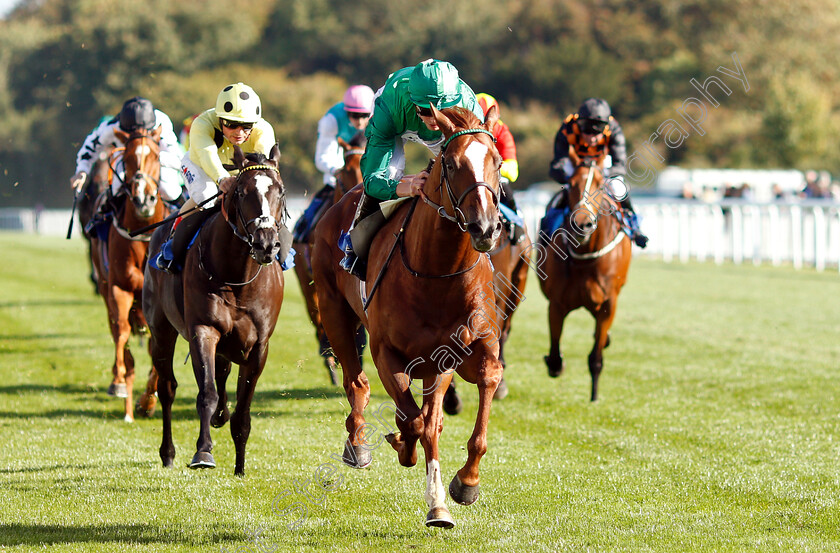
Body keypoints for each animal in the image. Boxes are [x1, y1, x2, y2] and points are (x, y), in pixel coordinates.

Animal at [90, 127, 166, 420]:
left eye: (156, 155)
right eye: (128, 157)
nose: (144, 198)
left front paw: (149, 399)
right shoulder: (119, 284)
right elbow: (122, 330)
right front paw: (120, 381)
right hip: (104, 285)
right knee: (117, 329)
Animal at [143, 146, 288, 474]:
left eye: (280, 191)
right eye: (241, 192)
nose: (266, 245)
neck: (238, 278)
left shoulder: (258, 346)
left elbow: (243, 409)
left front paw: (240, 467)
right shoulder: (203, 330)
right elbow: (206, 392)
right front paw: (203, 451)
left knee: (222, 373)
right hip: (161, 329)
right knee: (167, 387)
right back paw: (168, 452)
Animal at [312, 104, 502, 532]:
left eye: (497, 162)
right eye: (451, 163)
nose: (485, 226)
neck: (436, 272)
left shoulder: (452, 353)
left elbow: (439, 419)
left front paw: (456, 491)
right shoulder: (387, 353)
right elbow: (413, 420)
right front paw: (406, 453)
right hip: (334, 313)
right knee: (357, 382)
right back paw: (358, 444)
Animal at [540, 150, 632, 402]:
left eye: (600, 184)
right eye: (571, 184)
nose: (582, 224)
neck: (585, 256)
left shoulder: (608, 305)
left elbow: (596, 357)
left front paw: (594, 397)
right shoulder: (556, 303)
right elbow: (554, 355)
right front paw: (555, 364)